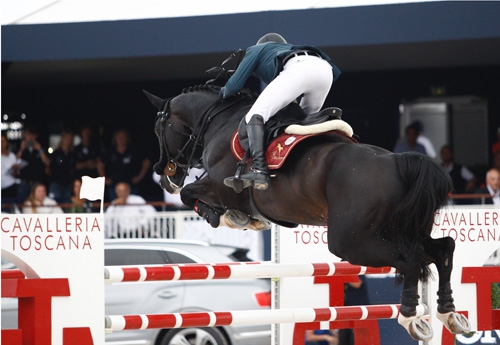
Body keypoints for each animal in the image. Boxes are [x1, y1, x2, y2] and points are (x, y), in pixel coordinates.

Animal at [144, 83, 468, 338]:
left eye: (159, 130)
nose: (164, 175)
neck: (219, 120)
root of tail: (397, 162)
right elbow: (191, 194)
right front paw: (244, 219)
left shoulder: (219, 185)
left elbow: (190, 194)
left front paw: (229, 216)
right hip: (401, 230)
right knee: (442, 249)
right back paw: (449, 314)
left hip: (351, 242)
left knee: (412, 259)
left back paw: (412, 318)